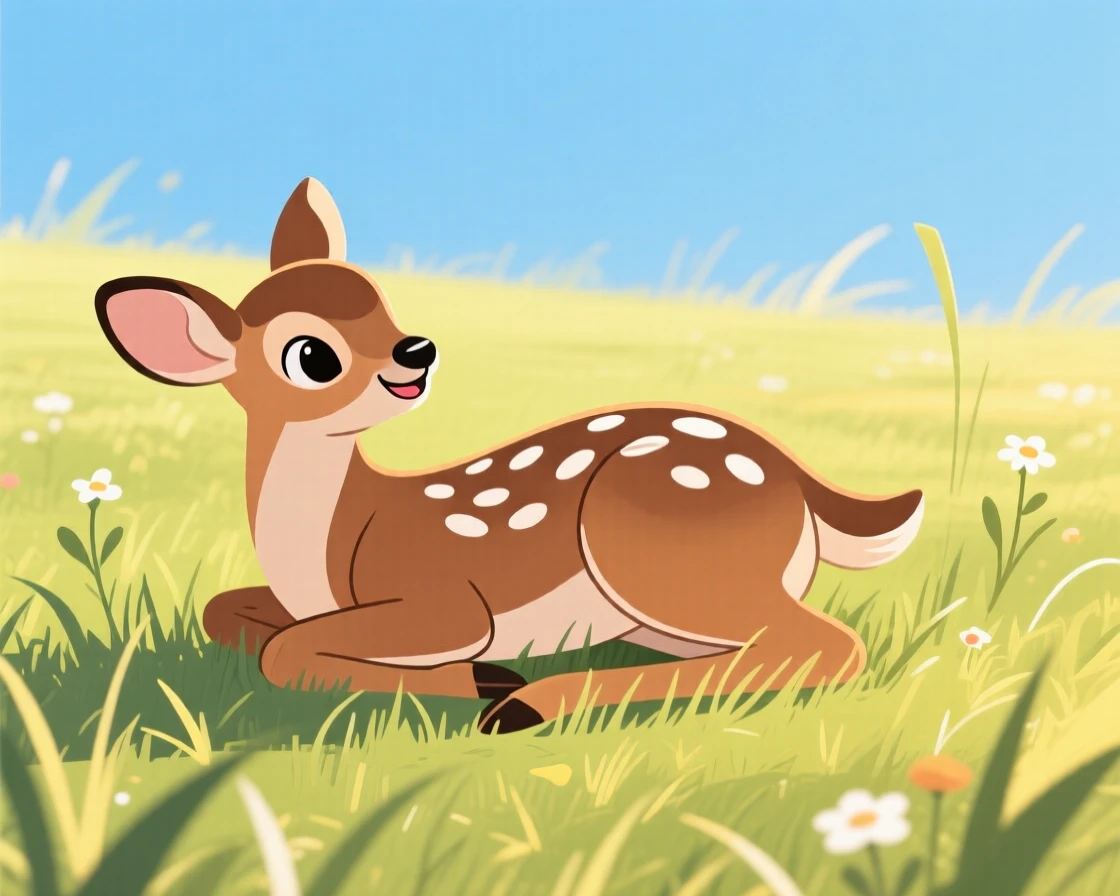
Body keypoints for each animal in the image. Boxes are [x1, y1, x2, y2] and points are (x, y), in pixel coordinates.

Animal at [94, 177, 925, 734]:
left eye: (379, 298)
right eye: (312, 355)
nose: (417, 350)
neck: (328, 542)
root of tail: (796, 477)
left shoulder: (444, 598)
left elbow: (286, 652)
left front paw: (485, 678)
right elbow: (228, 612)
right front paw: (483, 675)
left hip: (655, 546)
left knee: (827, 646)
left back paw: (528, 703)